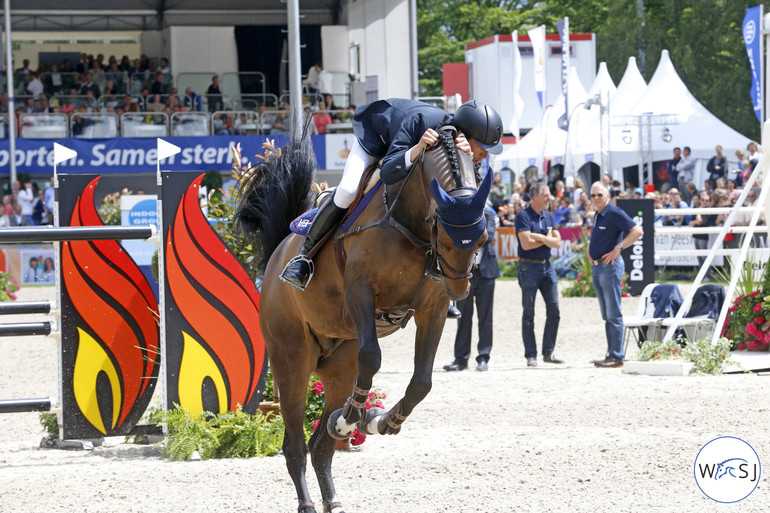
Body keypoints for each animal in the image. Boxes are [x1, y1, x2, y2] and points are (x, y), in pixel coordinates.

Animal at [232, 126, 492, 512]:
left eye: (483, 237)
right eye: (441, 235)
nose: (460, 288)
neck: (408, 220)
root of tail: (277, 255)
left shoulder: (433, 309)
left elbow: (422, 381)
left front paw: (384, 421)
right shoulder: (361, 293)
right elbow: (373, 357)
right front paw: (355, 418)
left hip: (339, 366)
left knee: (320, 445)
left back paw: (335, 488)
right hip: (292, 360)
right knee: (294, 445)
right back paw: (311, 496)